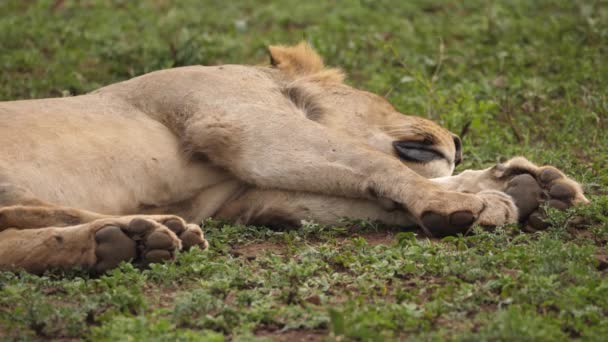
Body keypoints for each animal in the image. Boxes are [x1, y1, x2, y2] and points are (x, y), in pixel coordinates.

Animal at [0, 42, 588, 274]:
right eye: (388, 99)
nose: (459, 141)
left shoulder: (251, 197)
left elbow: (375, 191)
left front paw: (524, 185)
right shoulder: (237, 121)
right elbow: (378, 164)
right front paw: (487, 201)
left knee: (12, 238)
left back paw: (129, 240)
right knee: (22, 216)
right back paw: (143, 232)